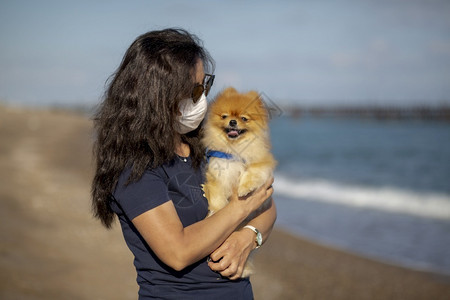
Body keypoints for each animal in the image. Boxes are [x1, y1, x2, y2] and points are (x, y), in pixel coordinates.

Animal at [202, 88, 276, 278]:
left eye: (244, 118)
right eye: (225, 116)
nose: (233, 121)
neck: (234, 149)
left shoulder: (261, 164)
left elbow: (252, 174)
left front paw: (244, 189)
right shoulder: (217, 172)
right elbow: (217, 197)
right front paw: (215, 212)